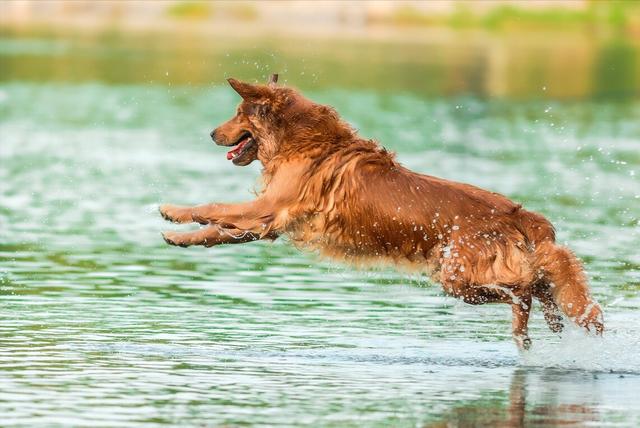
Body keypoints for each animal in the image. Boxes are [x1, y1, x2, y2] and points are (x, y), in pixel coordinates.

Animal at [158, 74, 604, 348]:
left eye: (237, 114)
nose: (211, 133)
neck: (300, 140)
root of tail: (520, 214)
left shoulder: (268, 209)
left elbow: (214, 207)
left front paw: (173, 211)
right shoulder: (270, 223)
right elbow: (215, 231)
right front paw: (179, 237)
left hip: (458, 278)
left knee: (523, 291)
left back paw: (525, 327)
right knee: (540, 285)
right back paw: (549, 323)